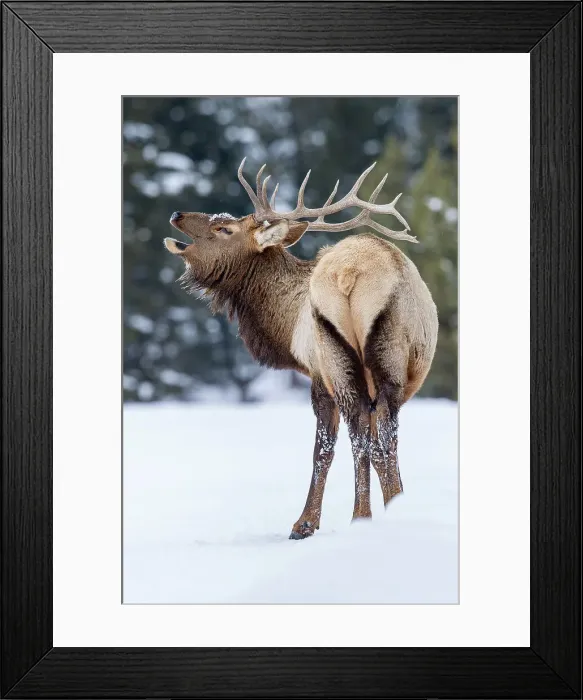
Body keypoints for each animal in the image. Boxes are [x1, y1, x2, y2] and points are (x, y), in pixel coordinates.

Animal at [164, 159, 438, 539]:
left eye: (224, 228)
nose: (177, 213)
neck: (285, 322)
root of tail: (349, 274)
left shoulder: (316, 372)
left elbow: (323, 448)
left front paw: (306, 523)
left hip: (345, 358)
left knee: (363, 436)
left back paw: (356, 517)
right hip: (372, 361)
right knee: (378, 437)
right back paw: (377, 513)